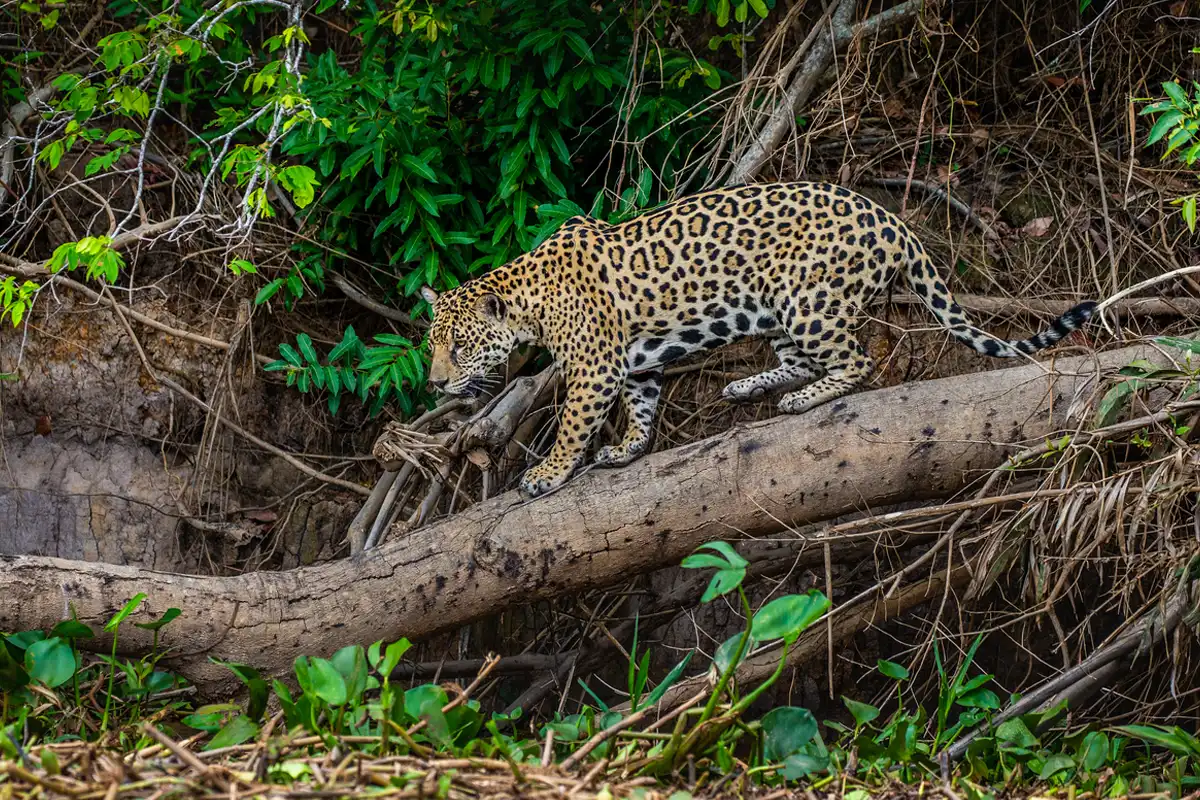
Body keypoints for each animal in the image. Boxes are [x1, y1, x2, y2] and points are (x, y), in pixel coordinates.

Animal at [419, 181, 1097, 498]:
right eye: (433, 346)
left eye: (459, 347)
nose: (434, 383)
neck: (526, 301)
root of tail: (891, 219)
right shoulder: (634, 362)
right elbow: (641, 406)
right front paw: (628, 449)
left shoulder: (593, 369)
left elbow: (571, 425)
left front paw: (548, 474)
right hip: (774, 311)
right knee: (804, 361)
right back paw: (749, 387)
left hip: (808, 300)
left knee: (858, 360)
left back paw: (798, 400)